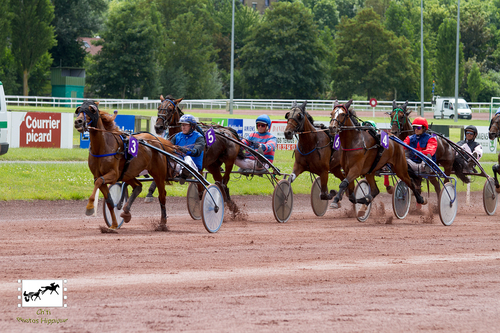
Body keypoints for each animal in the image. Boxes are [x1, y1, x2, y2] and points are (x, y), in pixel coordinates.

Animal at [73, 98, 176, 228]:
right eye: (79, 109)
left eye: (92, 109)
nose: (78, 121)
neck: (103, 146)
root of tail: (157, 140)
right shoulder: (99, 175)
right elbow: (109, 200)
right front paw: (113, 224)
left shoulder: (113, 175)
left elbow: (98, 182)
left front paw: (90, 207)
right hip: (128, 173)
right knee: (138, 186)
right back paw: (126, 212)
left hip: (158, 174)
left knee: (162, 195)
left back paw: (162, 223)